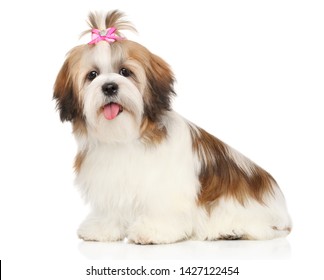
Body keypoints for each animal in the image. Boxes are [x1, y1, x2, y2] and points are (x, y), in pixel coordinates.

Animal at [53, 9, 292, 244]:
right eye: (92, 75)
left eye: (125, 72)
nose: (109, 87)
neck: (126, 136)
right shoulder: (108, 179)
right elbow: (110, 208)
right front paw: (103, 229)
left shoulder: (166, 183)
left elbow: (162, 207)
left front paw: (152, 231)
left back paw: (230, 231)